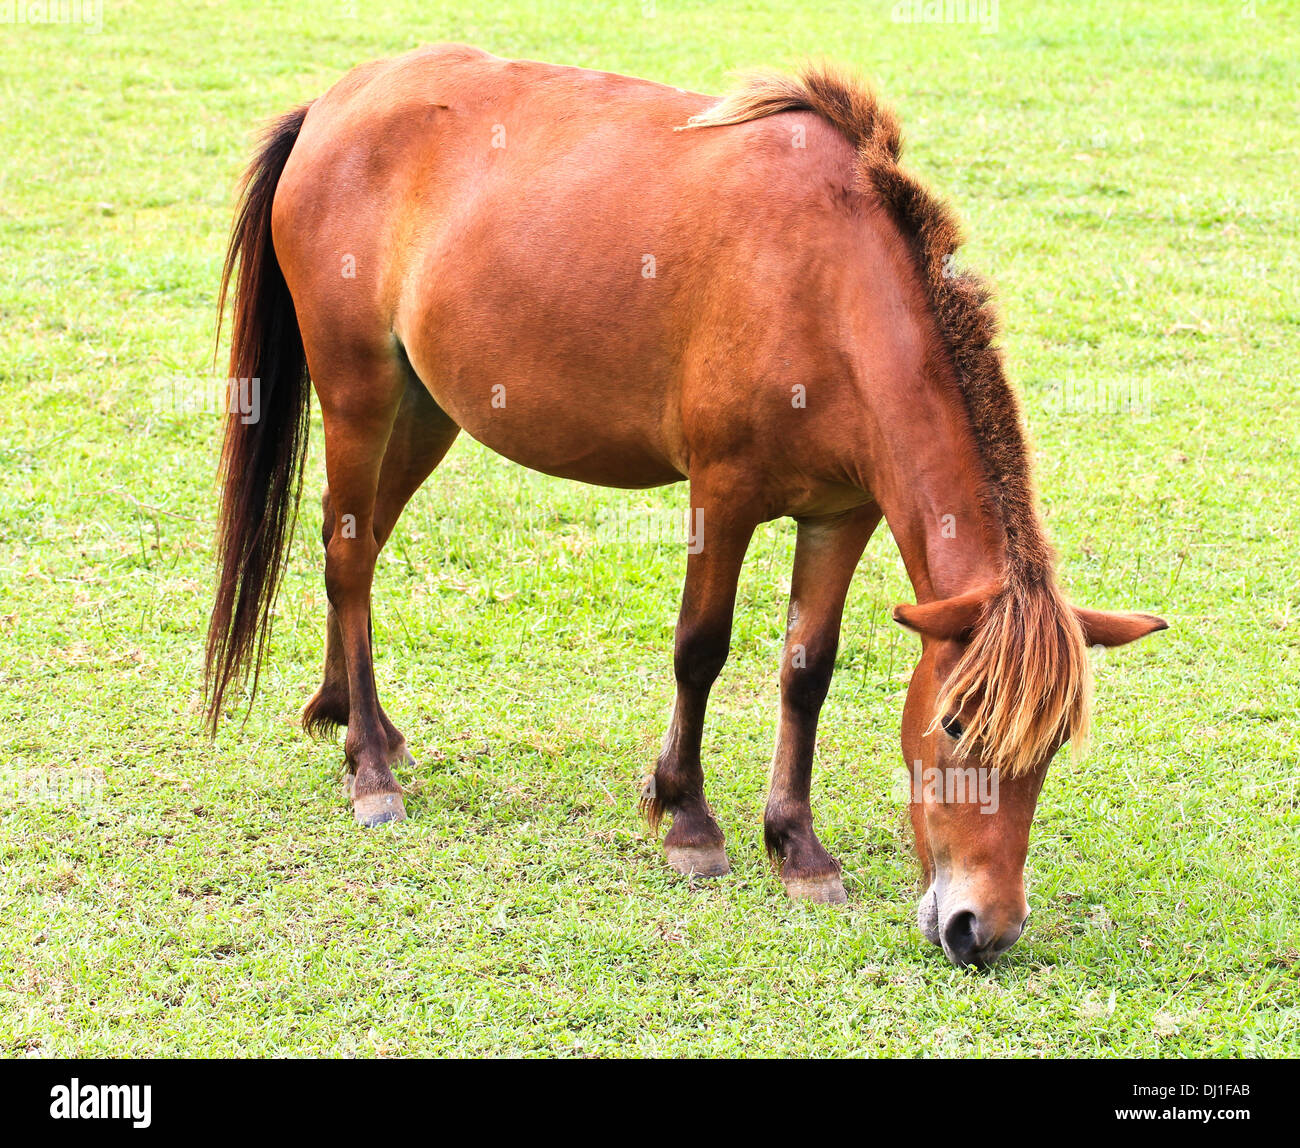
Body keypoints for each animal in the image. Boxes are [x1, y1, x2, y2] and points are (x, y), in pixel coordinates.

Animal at [204, 45, 1166, 966]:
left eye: (1050, 751)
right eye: (957, 724)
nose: (982, 930)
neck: (831, 285)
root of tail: (333, 104)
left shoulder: (842, 514)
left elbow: (807, 671)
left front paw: (797, 846)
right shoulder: (724, 491)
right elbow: (701, 649)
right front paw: (690, 822)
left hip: (423, 412)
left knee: (357, 551)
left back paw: (354, 721)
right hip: (359, 397)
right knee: (346, 557)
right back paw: (371, 770)